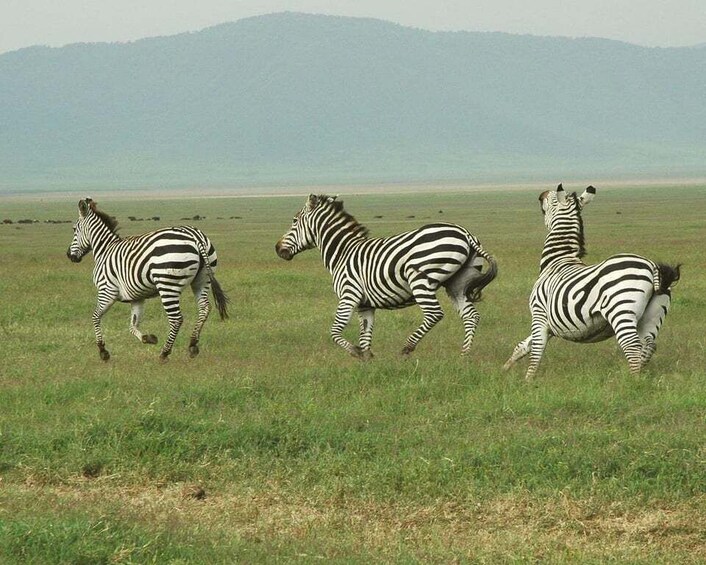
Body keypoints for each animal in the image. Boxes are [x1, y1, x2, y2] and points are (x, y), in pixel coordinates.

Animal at [67, 198, 229, 361]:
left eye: (74, 229)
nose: (69, 255)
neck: (104, 250)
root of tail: (194, 235)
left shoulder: (107, 291)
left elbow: (95, 317)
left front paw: (103, 350)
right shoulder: (137, 297)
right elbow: (133, 325)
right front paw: (148, 338)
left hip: (167, 285)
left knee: (176, 318)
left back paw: (165, 352)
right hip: (202, 280)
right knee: (204, 308)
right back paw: (193, 344)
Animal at [275, 194, 498, 359]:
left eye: (294, 221)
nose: (277, 248)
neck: (343, 252)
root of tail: (464, 233)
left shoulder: (349, 295)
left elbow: (335, 332)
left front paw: (356, 353)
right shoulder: (364, 305)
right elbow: (365, 335)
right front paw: (366, 361)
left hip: (420, 279)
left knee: (435, 314)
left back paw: (407, 348)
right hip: (458, 283)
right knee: (471, 316)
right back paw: (464, 354)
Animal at [503, 184, 680, 379]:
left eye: (552, 199)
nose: (541, 195)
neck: (558, 259)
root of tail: (652, 267)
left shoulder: (539, 313)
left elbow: (536, 350)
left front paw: (528, 380)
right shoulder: (551, 324)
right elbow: (522, 346)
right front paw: (504, 370)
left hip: (621, 310)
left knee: (632, 346)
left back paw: (633, 380)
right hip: (652, 316)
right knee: (649, 345)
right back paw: (638, 376)